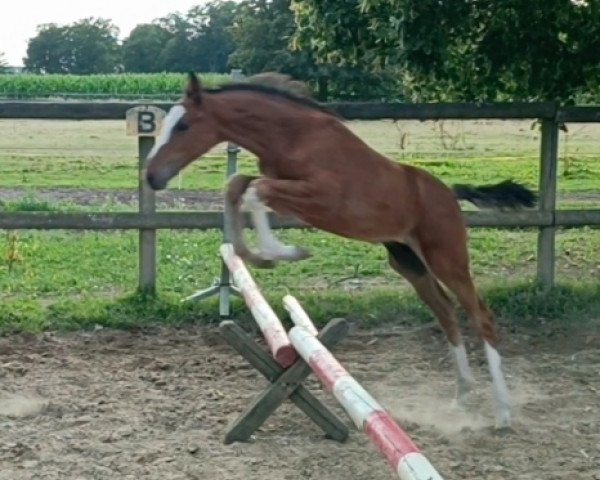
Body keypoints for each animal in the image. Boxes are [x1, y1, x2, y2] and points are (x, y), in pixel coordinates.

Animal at [145, 73, 536, 430]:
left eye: (183, 125)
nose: (151, 176)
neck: (293, 136)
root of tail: (451, 194)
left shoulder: (321, 198)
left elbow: (255, 191)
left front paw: (284, 252)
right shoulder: (292, 194)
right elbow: (237, 185)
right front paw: (249, 253)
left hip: (446, 257)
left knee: (480, 315)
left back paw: (503, 414)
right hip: (408, 262)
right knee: (446, 312)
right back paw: (462, 395)